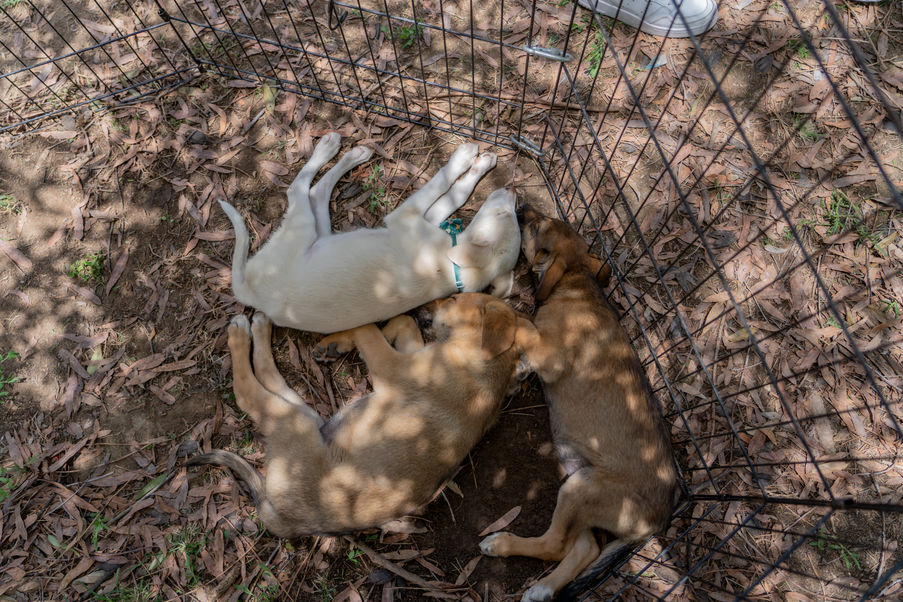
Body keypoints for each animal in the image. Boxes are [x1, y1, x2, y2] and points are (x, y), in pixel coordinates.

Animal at [188, 293, 530, 536]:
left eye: (455, 299)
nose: (423, 307)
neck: (486, 363)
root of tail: (289, 521)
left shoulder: (390, 365)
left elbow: (368, 328)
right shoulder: (408, 353)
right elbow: (401, 324)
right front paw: (339, 344)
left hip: (294, 424)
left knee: (248, 392)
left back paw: (242, 332)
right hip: (311, 419)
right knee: (270, 375)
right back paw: (262, 326)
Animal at [219, 133, 521, 334]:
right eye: (508, 215)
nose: (512, 191)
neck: (451, 267)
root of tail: (249, 293)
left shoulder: (403, 217)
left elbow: (441, 182)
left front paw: (465, 159)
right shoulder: (419, 219)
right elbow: (455, 192)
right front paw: (475, 163)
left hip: (302, 231)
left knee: (302, 190)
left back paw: (336, 150)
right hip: (319, 234)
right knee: (314, 191)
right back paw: (349, 153)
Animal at [479, 205, 678, 601]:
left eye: (536, 225)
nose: (521, 207)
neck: (576, 284)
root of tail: (660, 520)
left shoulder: (552, 355)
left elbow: (524, 321)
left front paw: (505, 313)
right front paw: (519, 370)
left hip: (582, 488)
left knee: (555, 546)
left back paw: (501, 544)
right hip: (579, 481)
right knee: (586, 548)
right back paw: (542, 589)